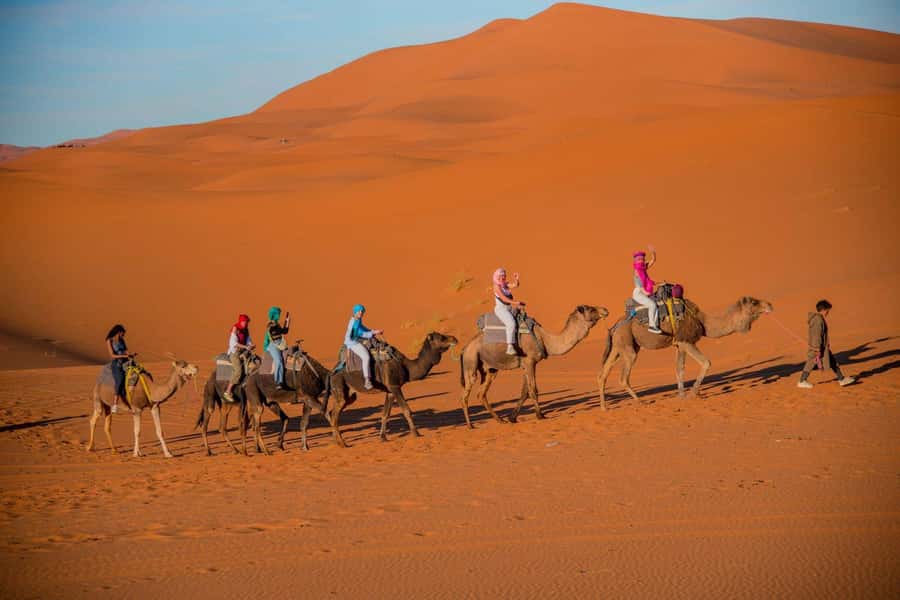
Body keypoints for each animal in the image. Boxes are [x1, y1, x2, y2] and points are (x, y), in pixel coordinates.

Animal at [327, 332, 458, 447]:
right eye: (442, 338)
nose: (455, 339)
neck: (407, 367)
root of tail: (331, 373)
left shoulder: (389, 391)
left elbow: (385, 414)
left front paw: (383, 437)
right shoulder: (395, 387)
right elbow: (406, 410)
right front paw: (416, 433)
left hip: (349, 395)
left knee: (332, 412)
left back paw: (336, 441)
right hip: (340, 387)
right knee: (334, 415)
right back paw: (343, 444)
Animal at [459, 305, 608, 427]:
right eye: (591, 309)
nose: (605, 310)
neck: (545, 340)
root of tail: (465, 348)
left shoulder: (526, 365)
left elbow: (525, 392)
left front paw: (512, 418)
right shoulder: (530, 361)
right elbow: (533, 390)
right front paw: (540, 415)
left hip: (489, 369)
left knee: (481, 393)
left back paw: (500, 420)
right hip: (471, 361)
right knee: (465, 394)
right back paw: (470, 425)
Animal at [597, 296, 773, 408]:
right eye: (754, 302)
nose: (770, 305)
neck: (703, 322)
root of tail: (614, 326)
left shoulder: (679, 345)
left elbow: (679, 369)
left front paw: (681, 396)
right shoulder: (686, 341)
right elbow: (706, 362)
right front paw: (692, 394)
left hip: (619, 345)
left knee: (603, 374)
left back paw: (604, 407)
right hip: (627, 344)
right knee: (623, 377)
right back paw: (640, 402)